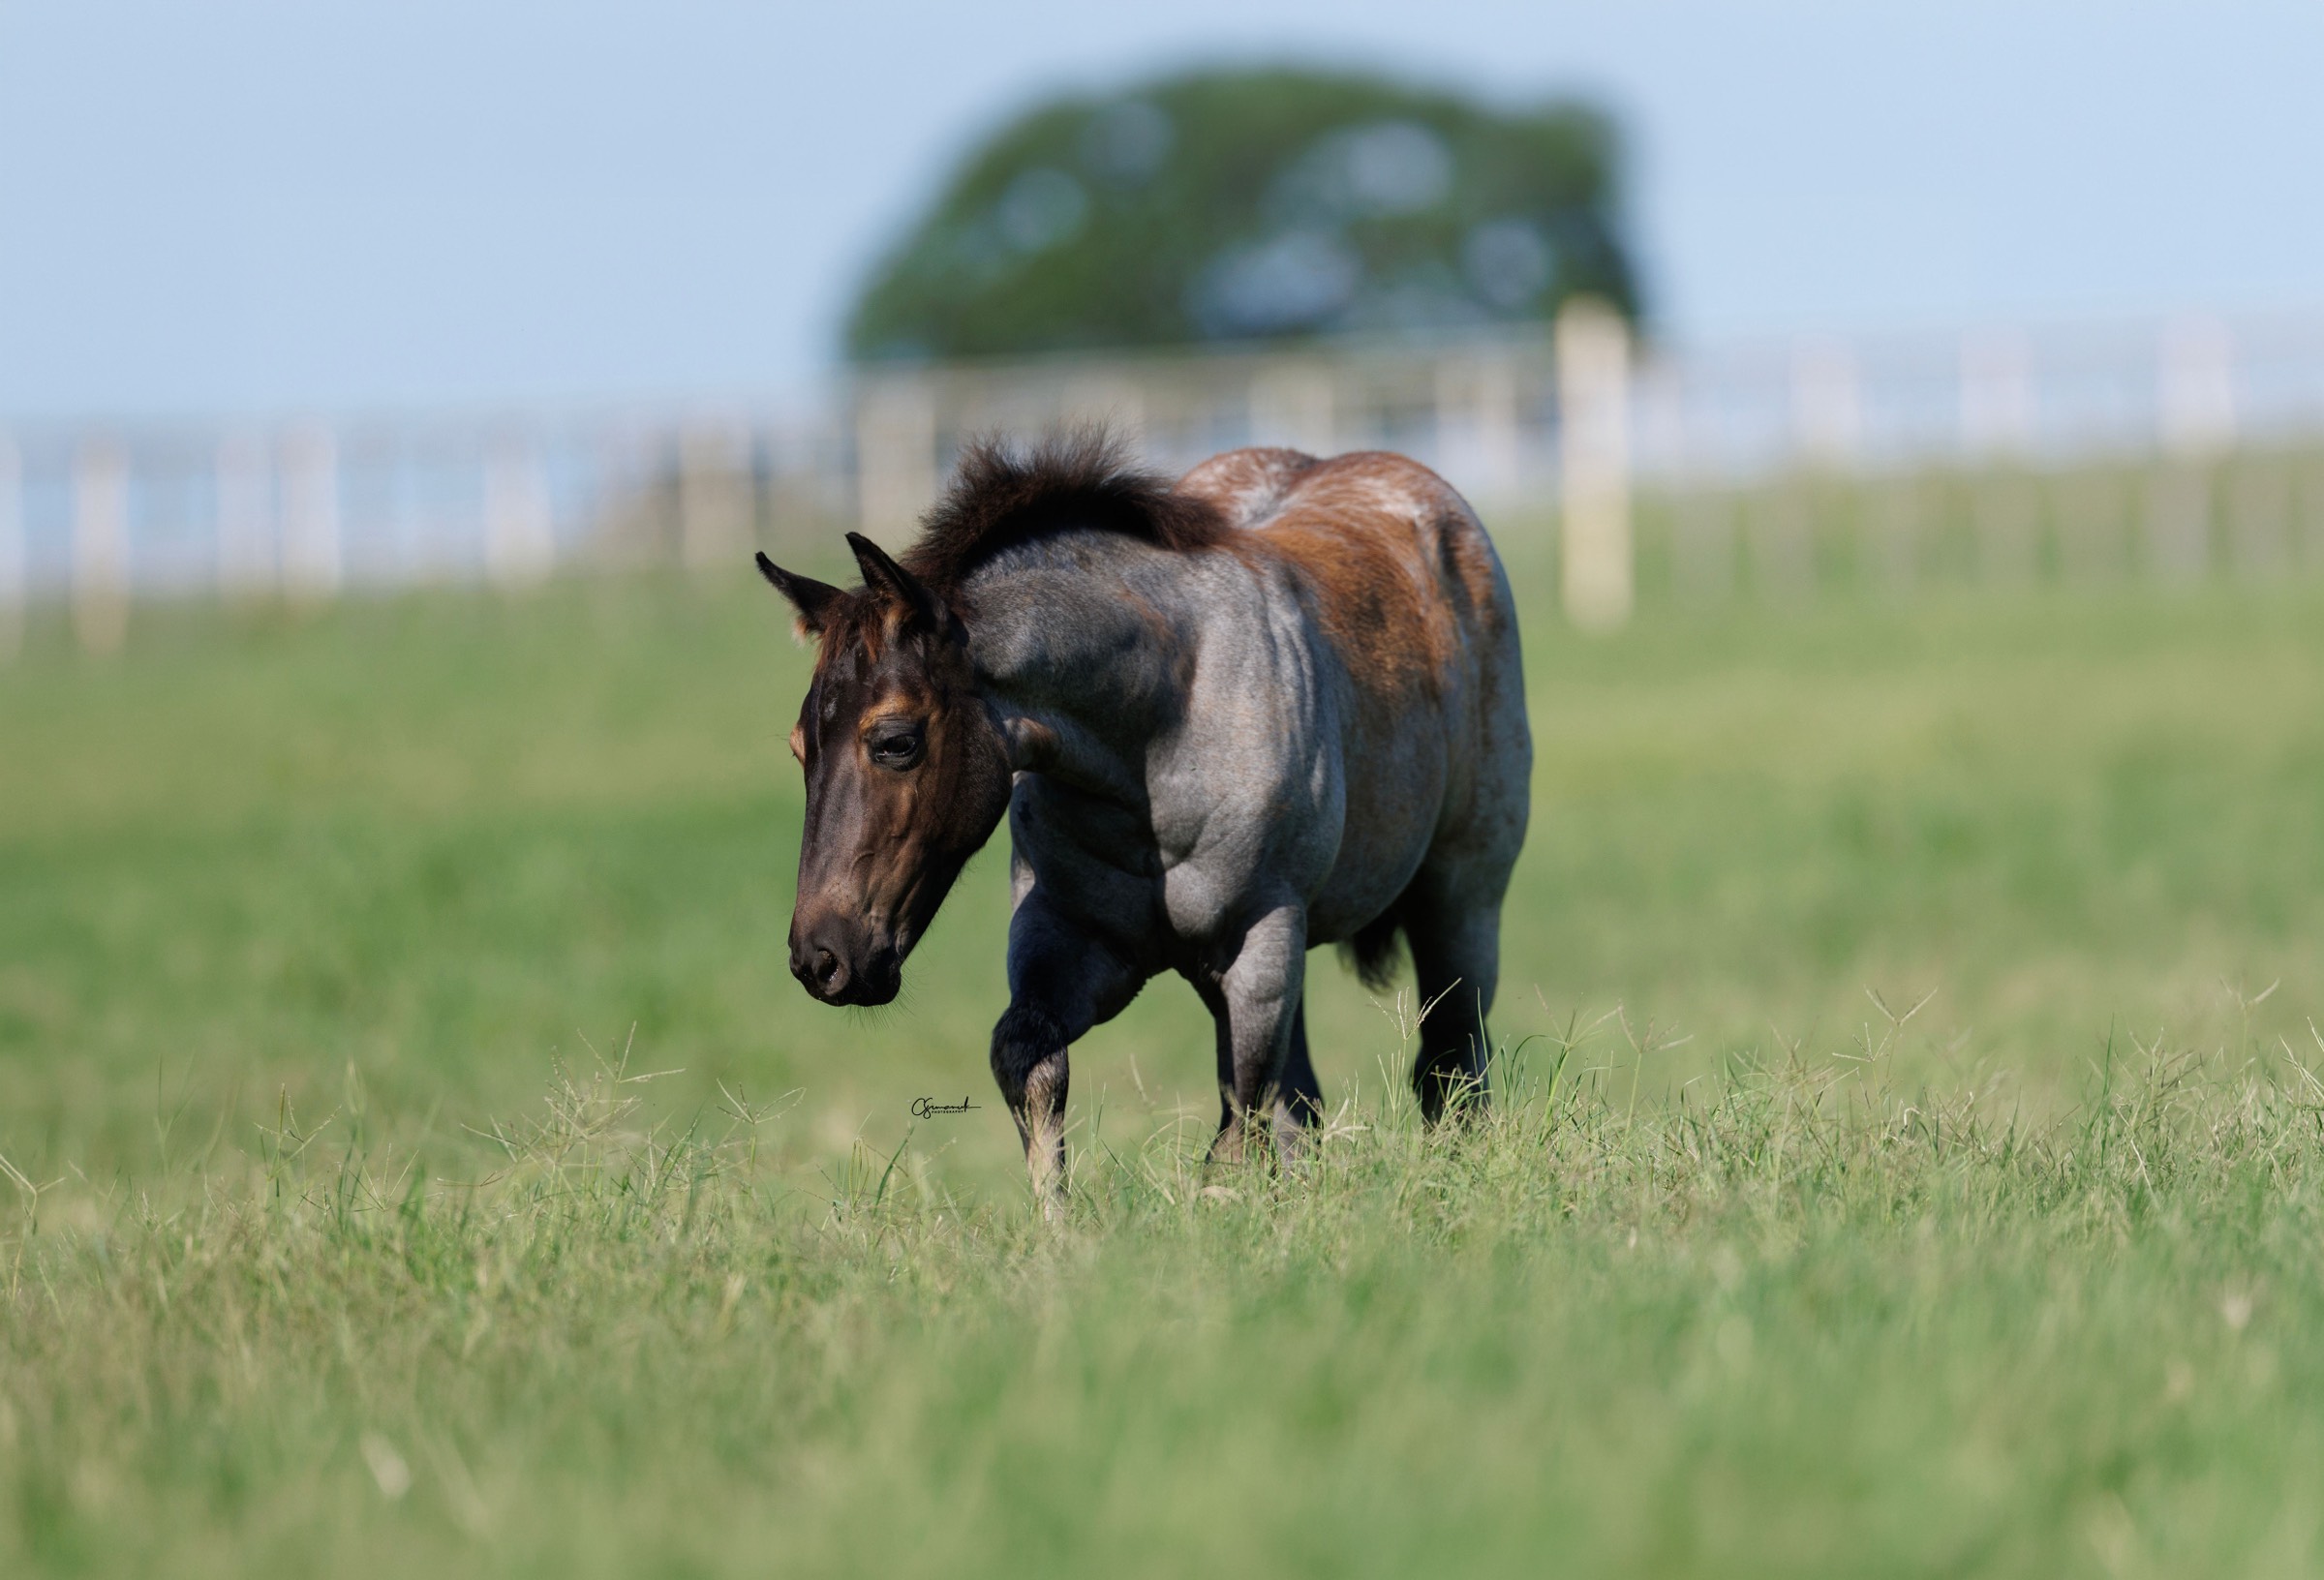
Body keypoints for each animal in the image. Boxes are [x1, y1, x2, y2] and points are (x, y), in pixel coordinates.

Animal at [756, 432, 1531, 1197]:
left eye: (895, 741)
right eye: (797, 746)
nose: (822, 960)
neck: (1160, 728)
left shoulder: (1262, 936)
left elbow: (1240, 1122)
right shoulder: (1077, 938)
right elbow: (1028, 1061)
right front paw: (1057, 1224)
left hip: (1460, 901)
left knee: (1450, 1061)